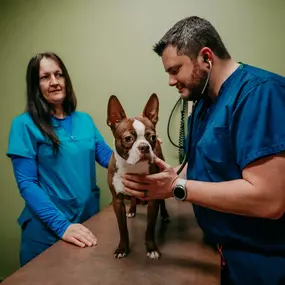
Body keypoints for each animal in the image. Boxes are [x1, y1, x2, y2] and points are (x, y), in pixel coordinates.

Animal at [106, 94, 169, 258]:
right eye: (128, 138)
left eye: (152, 137)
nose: (145, 147)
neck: (132, 166)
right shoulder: (117, 201)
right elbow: (122, 228)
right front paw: (122, 248)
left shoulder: (153, 199)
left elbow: (150, 227)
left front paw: (151, 248)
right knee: (134, 199)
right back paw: (132, 210)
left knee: (163, 201)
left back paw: (165, 214)